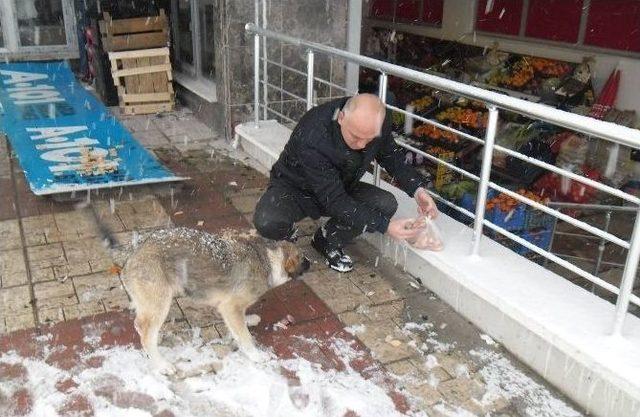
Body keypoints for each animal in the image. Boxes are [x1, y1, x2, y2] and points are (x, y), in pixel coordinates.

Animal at [121, 226, 312, 372]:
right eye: (303, 259)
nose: (312, 263)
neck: (268, 259)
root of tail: (133, 255)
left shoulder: (230, 309)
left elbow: (240, 323)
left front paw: (249, 319)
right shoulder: (231, 306)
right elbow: (245, 337)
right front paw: (256, 355)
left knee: (140, 325)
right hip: (161, 302)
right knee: (145, 332)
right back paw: (161, 364)